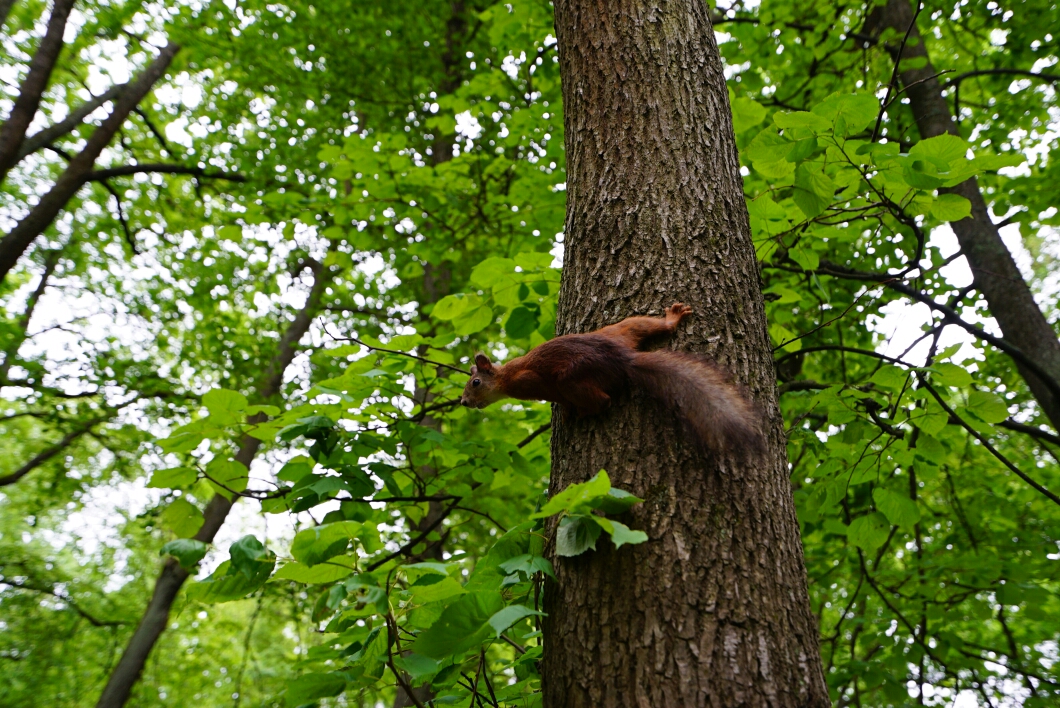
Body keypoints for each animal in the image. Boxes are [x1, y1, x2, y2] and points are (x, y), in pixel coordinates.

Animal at [455, 305, 763, 453]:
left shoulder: (531, 382)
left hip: (573, 377)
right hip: (620, 330)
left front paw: (566, 411)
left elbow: (555, 397)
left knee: (602, 400)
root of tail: (623, 358)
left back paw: (585, 412)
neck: (506, 376)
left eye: (475, 383)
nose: (463, 402)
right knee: (643, 325)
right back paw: (671, 319)